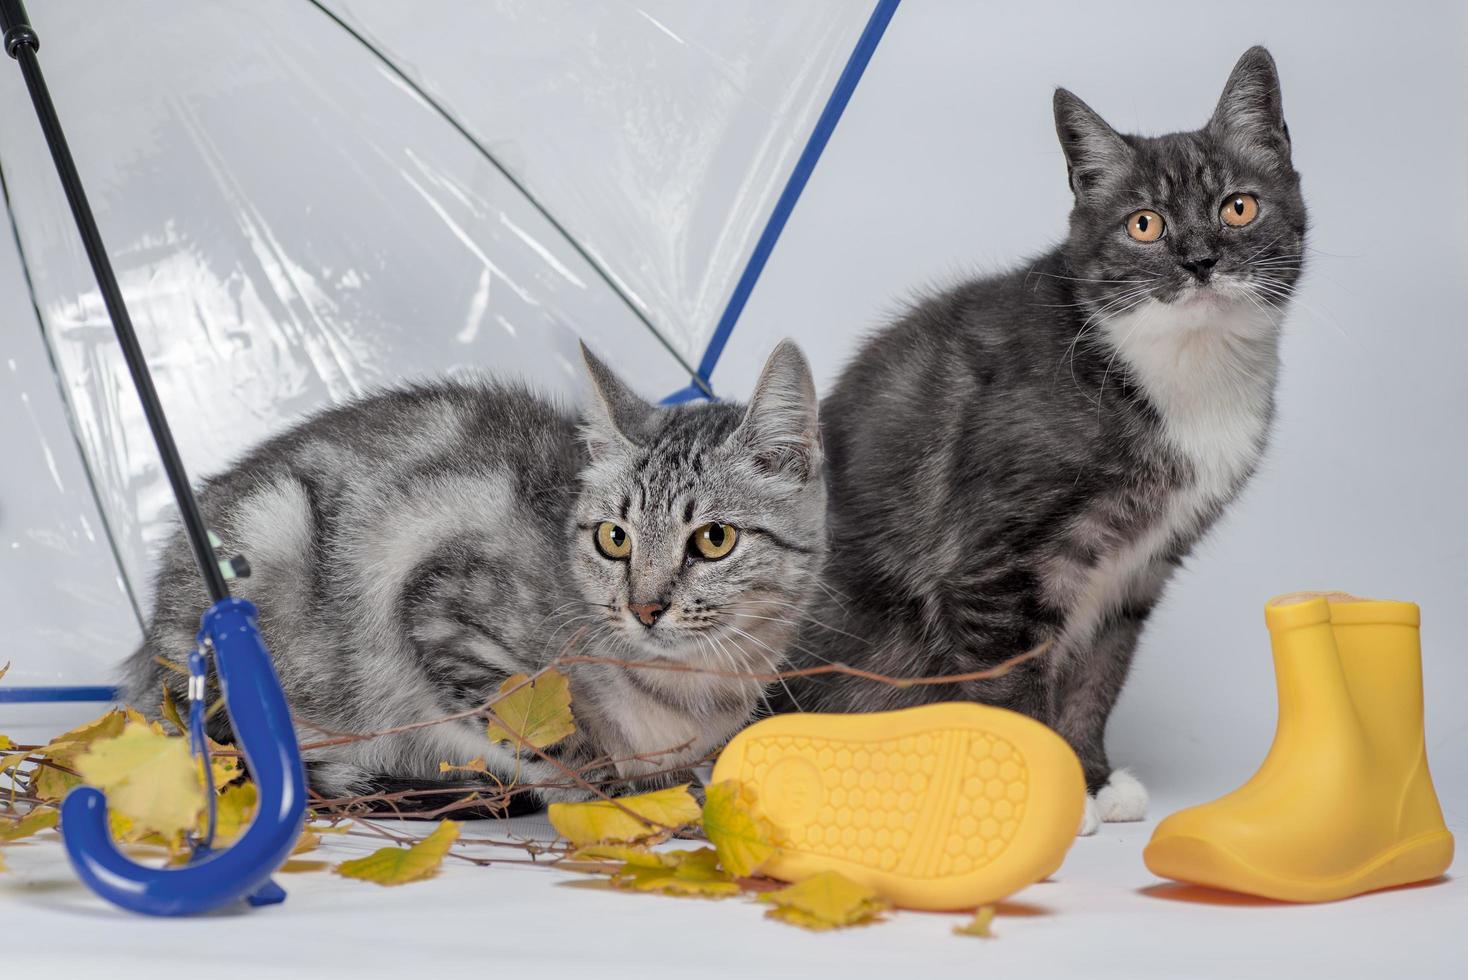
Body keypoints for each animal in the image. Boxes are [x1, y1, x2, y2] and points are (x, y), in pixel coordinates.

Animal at [126, 340, 827, 809]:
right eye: (614, 538)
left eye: (714, 539)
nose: (645, 607)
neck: (693, 686)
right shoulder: (441, 611)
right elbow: (553, 743)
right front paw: (626, 796)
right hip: (272, 538)